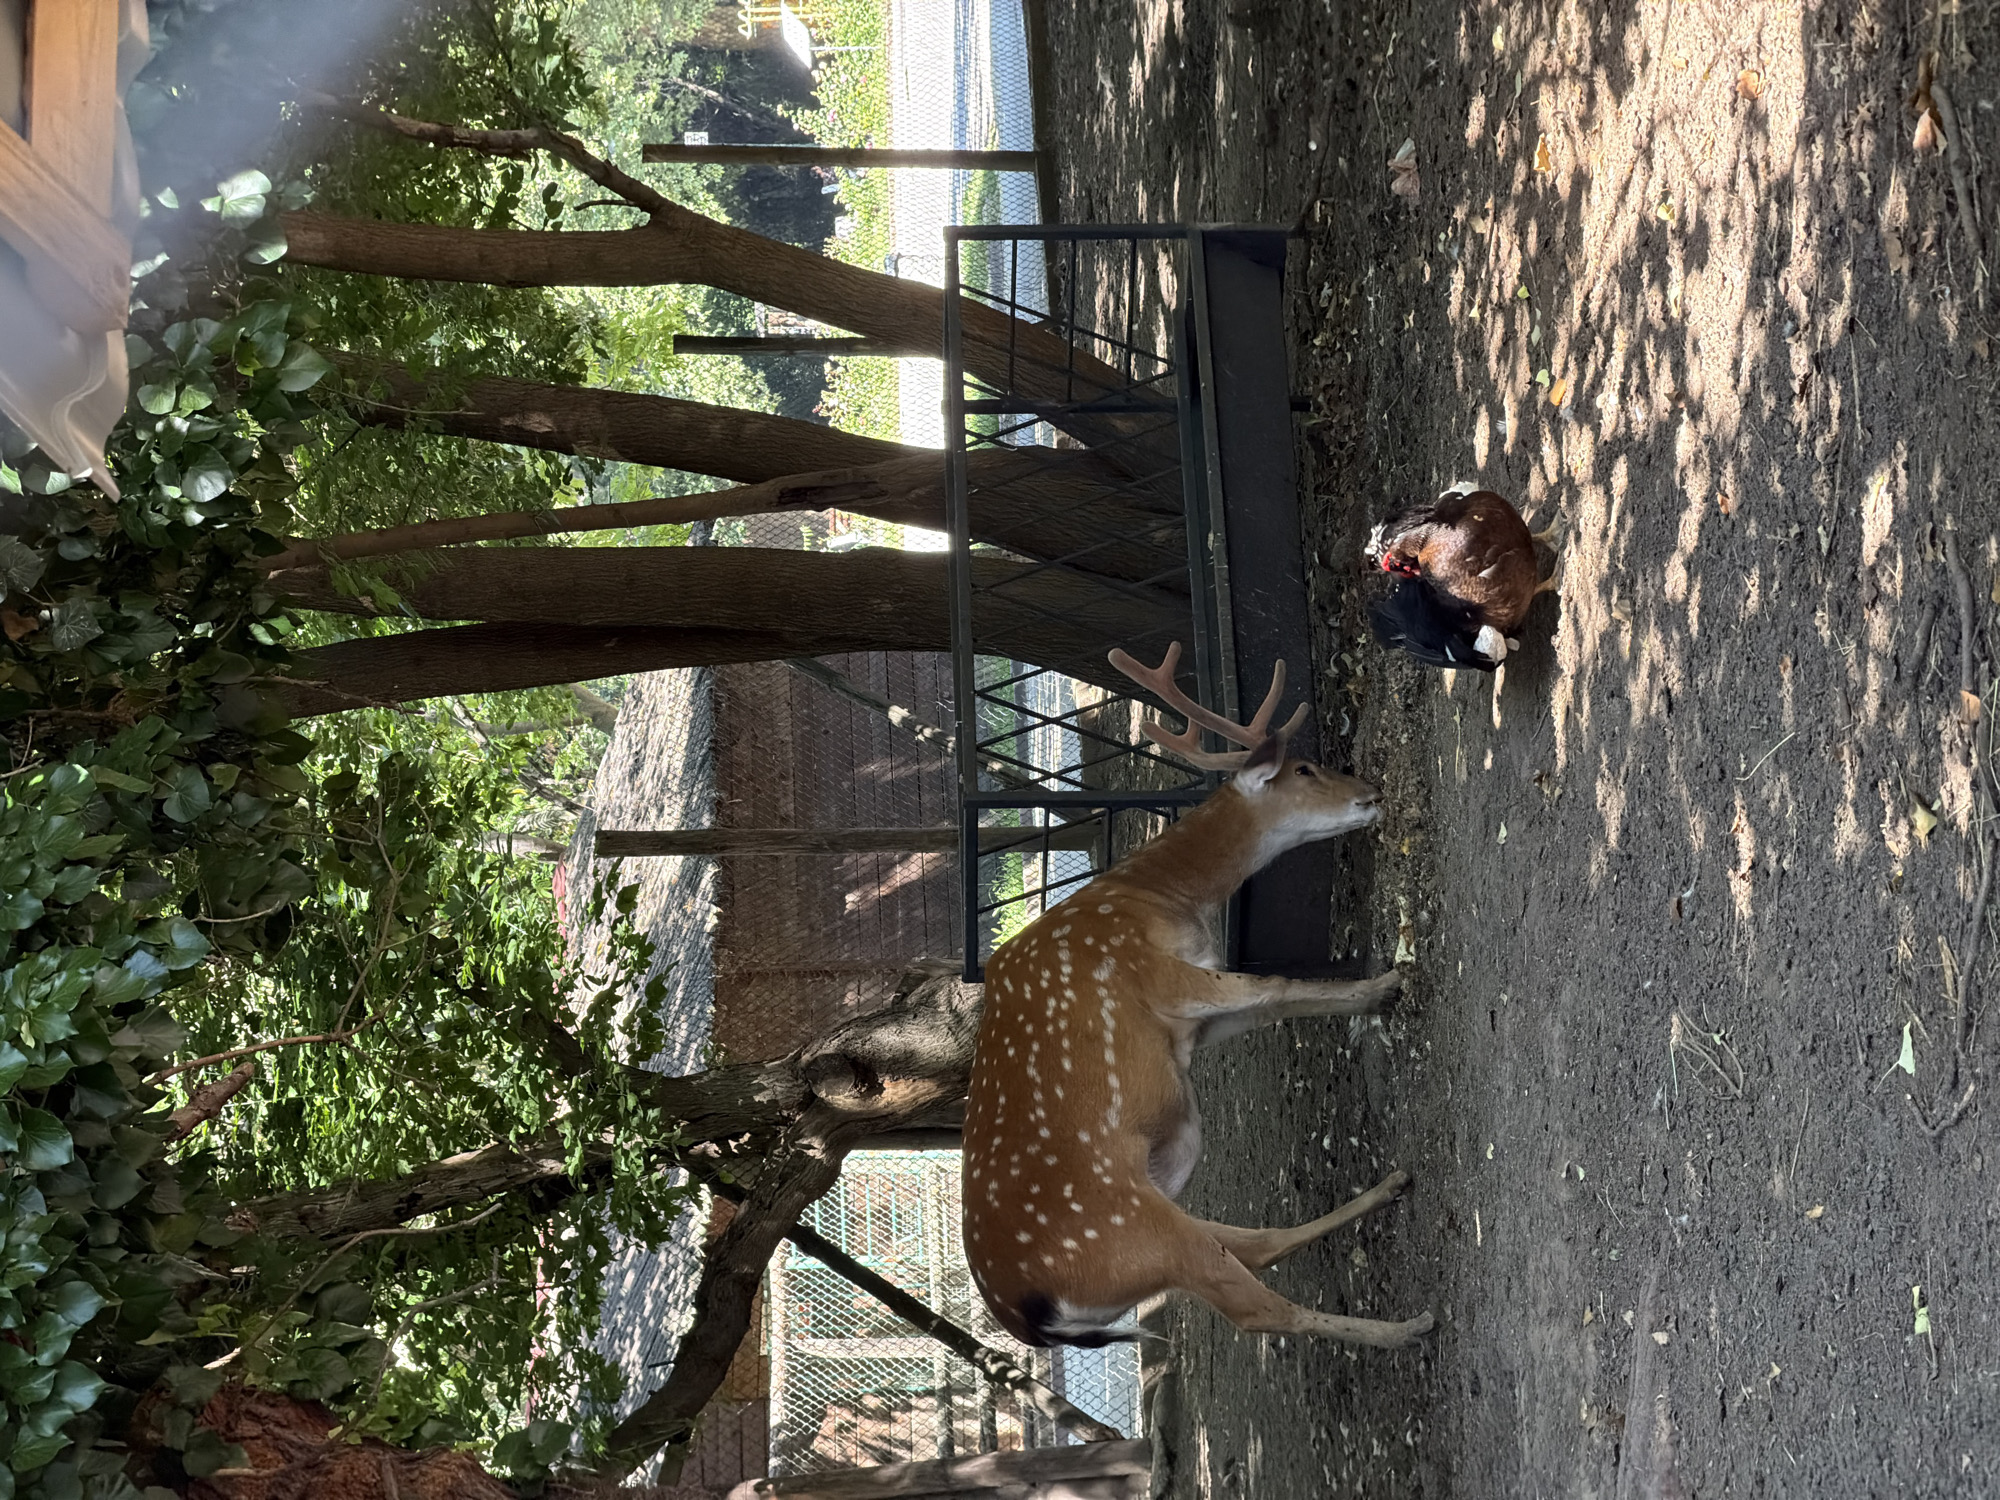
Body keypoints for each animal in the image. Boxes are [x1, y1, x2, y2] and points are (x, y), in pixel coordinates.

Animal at [962, 642, 1433, 1352]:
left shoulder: (1193, 1020)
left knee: (1256, 1244)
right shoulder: (1151, 972)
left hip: (1163, 1212)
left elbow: (1273, 1003)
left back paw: (1393, 1185)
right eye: (1303, 767)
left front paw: (1376, 996)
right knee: (1259, 1309)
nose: (1371, 794)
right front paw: (1388, 983)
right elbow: (1276, 984)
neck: (1162, 896)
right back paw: (1411, 1327)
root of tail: (1034, 1318)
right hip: (1133, 1230)